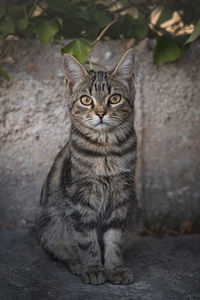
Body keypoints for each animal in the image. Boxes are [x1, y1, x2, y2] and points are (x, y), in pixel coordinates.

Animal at [36, 48, 142, 284]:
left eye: (114, 98)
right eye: (86, 100)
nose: (101, 113)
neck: (106, 150)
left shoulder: (121, 196)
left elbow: (115, 239)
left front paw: (115, 269)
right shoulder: (80, 201)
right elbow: (87, 240)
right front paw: (93, 268)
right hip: (52, 226)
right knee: (58, 249)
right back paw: (77, 263)